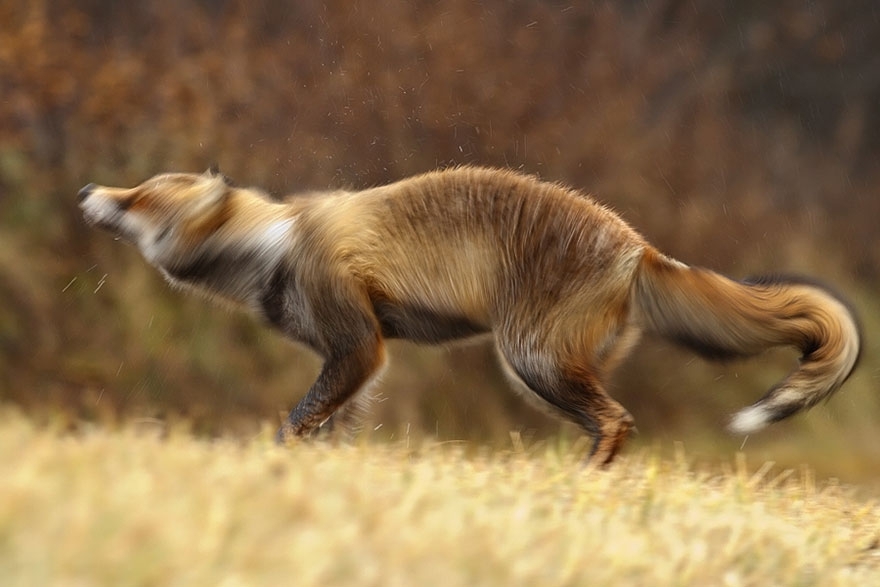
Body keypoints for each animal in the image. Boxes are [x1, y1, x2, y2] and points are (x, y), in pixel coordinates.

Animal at [75, 168, 860, 466]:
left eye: (139, 197)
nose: (87, 190)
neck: (281, 245)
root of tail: (639, 246)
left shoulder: (358, 345)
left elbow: (296, 419)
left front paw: (276, 460)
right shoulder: (359, 362)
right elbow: (337, 423)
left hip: (532, 360)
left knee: (618, 419)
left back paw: (581, 484)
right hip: (552, 367)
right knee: (611, 421)